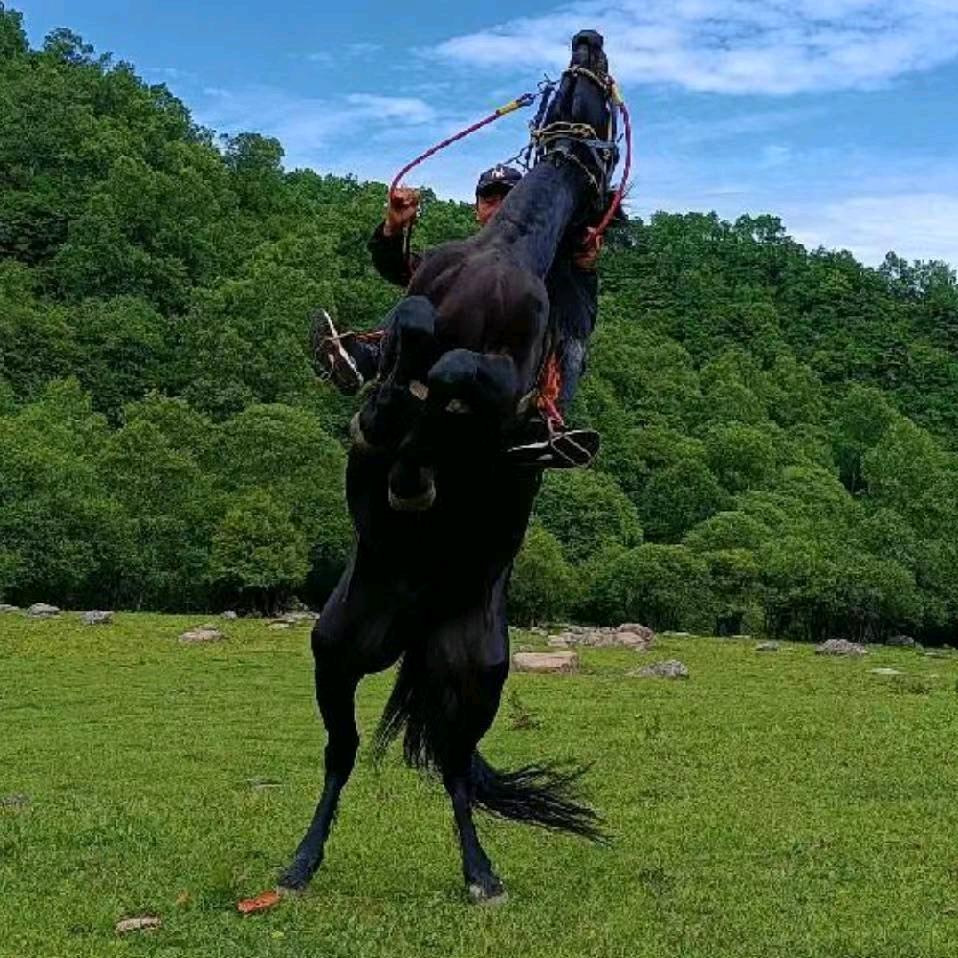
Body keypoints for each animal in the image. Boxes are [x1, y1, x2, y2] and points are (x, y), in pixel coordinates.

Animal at [279, 29, 618, 904]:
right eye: (572, 81)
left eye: (605, 101)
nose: (590, 43)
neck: (501, 259)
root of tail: (418, 625)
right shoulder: (420, 301)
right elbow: (412, 319)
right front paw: (382, 405)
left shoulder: (508, 387)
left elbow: (465, 371)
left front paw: (415, 447)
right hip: (339, 650)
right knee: (341, 754)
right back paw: (299, 864)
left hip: (476, 678)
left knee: (459, 770)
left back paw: (481, 876)